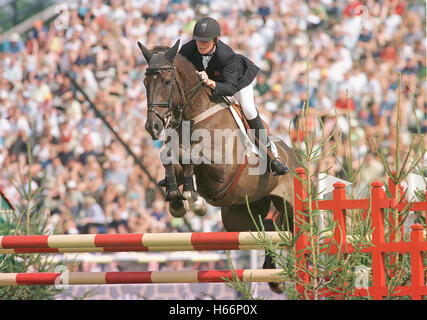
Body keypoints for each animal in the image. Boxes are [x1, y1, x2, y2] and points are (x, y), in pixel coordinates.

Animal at [137, 39, 298, 292]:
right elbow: (170, 156)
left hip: (290, 205)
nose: (152, 127)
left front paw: (193, 198)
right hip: (239, 216)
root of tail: (294, 156)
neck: (194, 115)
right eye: (145, 83)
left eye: (166, 82)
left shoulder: (222, 168)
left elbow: (191, 155)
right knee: (269, 229)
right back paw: (274, 275)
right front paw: (176, 198)